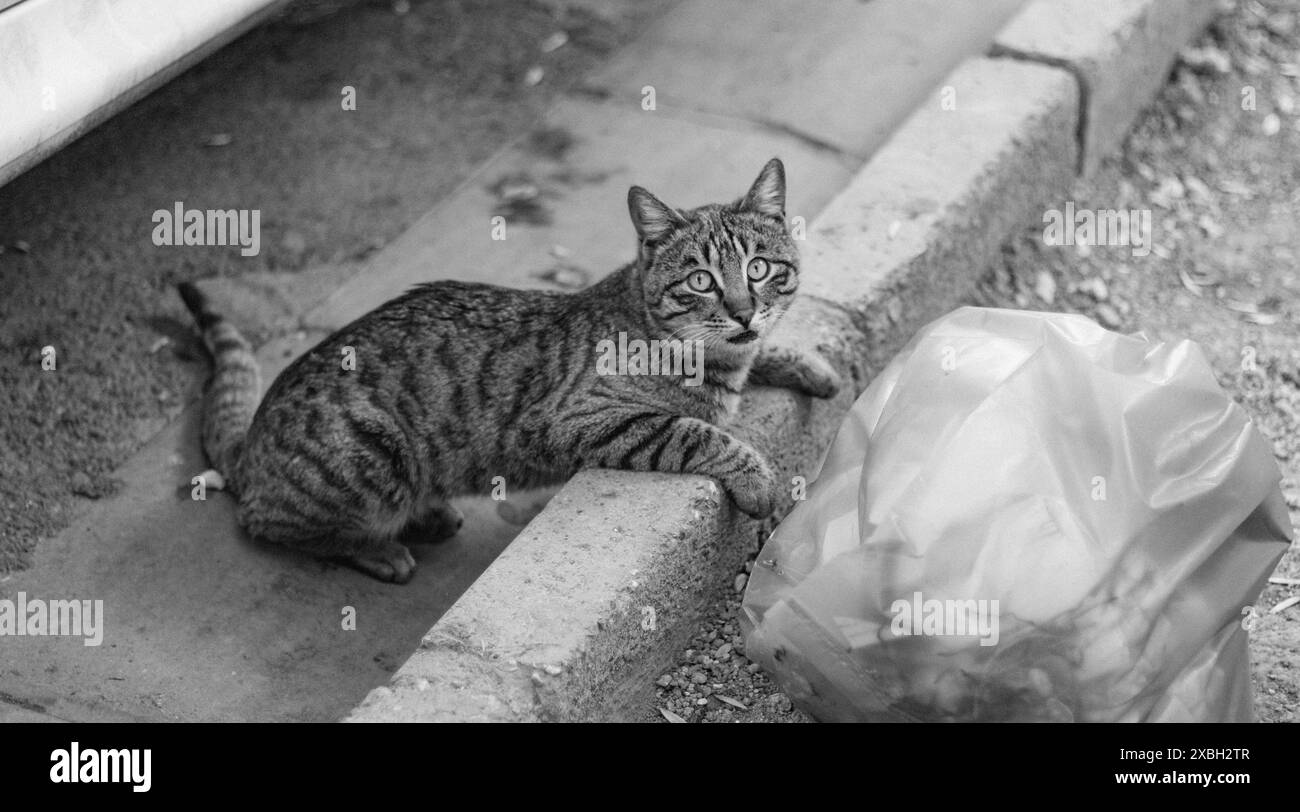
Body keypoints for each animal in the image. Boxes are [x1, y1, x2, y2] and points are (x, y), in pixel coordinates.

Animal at [178, 155, 837, 579]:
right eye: (701, 280)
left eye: (758, 269)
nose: (743, 310)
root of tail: (252, 441)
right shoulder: (577, 419)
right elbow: (693, 431)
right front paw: (755, 475)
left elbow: (765, 352)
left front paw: (810, 365)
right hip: (371, 451)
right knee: (262, 520)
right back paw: (378, 547)